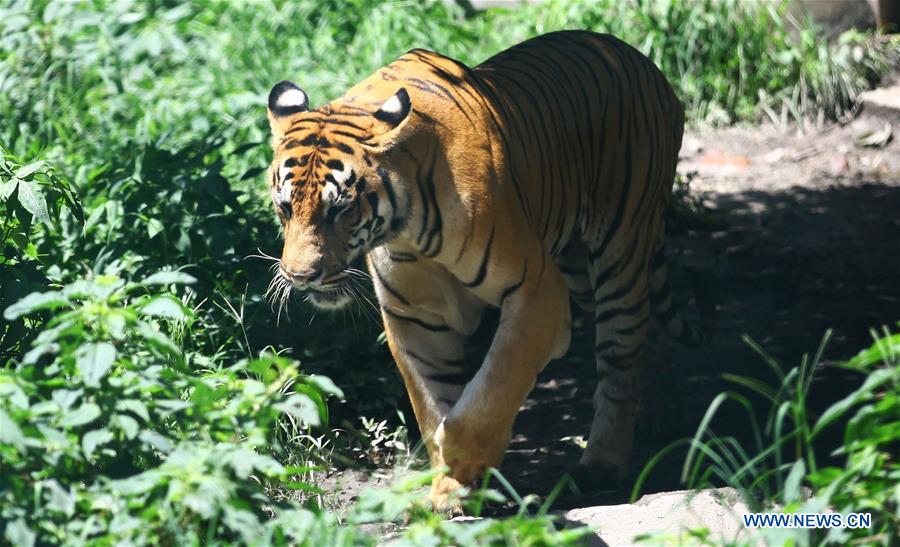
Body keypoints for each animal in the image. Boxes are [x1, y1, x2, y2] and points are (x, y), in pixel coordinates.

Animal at [264, 30, 703, 508]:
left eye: (339, 209)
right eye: (285, 207)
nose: (300, 276)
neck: (405, 232)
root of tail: (630, 53)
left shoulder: (536, 290)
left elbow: (488, 394)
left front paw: (466, 468)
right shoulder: (415, 316)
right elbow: (432, 406)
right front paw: (449, 489)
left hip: (620, 250)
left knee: (619, 359)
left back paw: (603, 462)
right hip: (580, 271)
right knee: (645, 329)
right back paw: (663, 412)